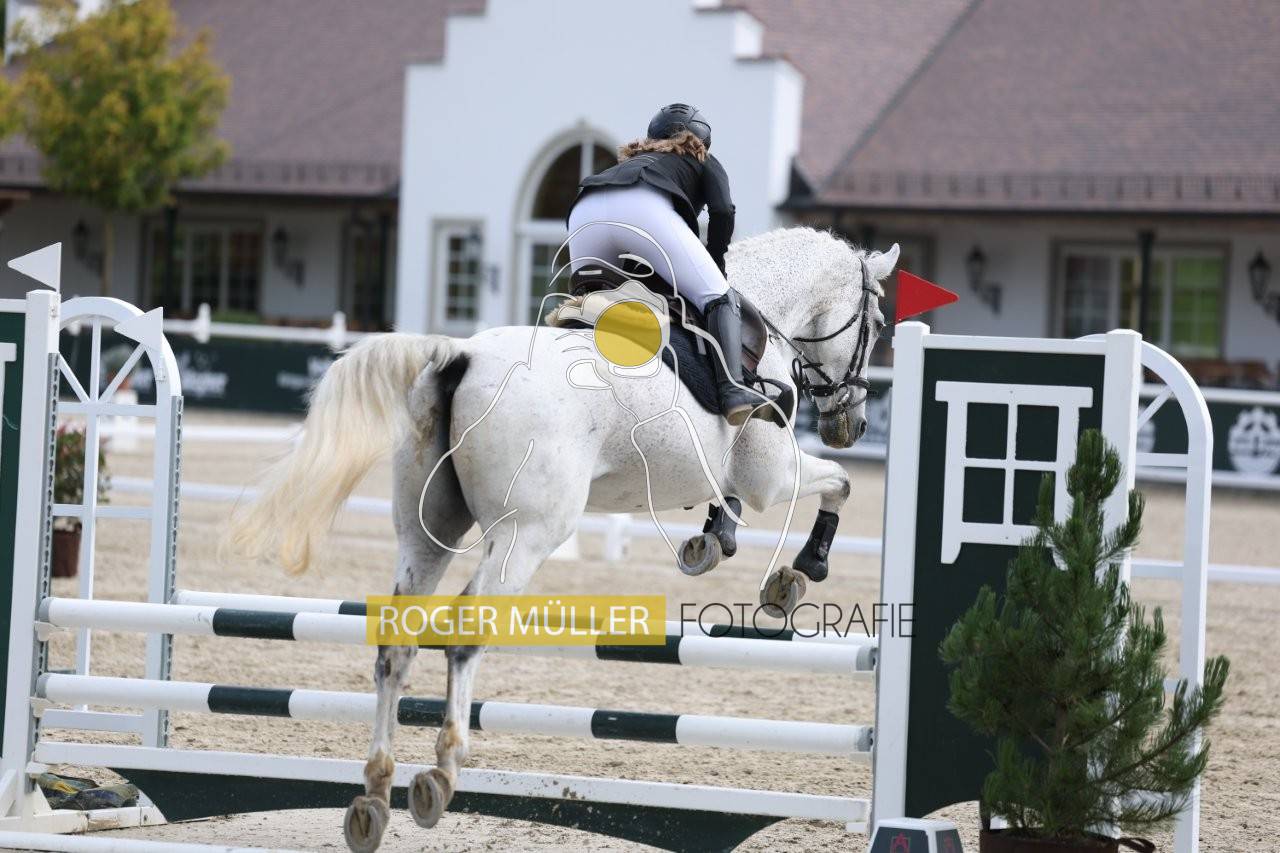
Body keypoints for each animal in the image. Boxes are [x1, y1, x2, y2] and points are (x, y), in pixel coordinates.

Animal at [229, 226, 895, 852]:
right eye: (879, 323)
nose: (853, 423)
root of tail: (461, 357)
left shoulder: (738, 475)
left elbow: (739, 500)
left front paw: (713, 543)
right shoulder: (772, 477)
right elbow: (838, 486)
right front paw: (797, 573)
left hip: (427, 532)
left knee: (398, 641)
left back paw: (373, 793)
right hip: (528, 533)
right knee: (466, 629)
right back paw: (442, 772)